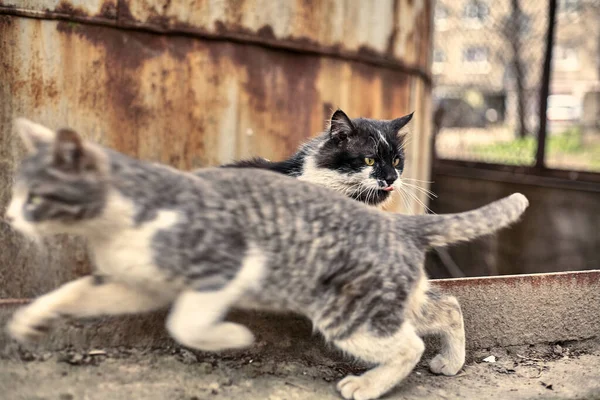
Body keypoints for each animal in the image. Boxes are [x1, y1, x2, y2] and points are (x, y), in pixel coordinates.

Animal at [5, 119, 528, 400]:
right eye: (367, 161)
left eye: (396, 161)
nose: (391, 180)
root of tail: (398, 228)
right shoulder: (138, 280)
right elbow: (80, 291)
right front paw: (31, 319)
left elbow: (186, 319)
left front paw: (229, 336)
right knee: (445, 307)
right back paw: (449, 363)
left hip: (351, 308)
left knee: (412, 340)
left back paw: (370, 383)